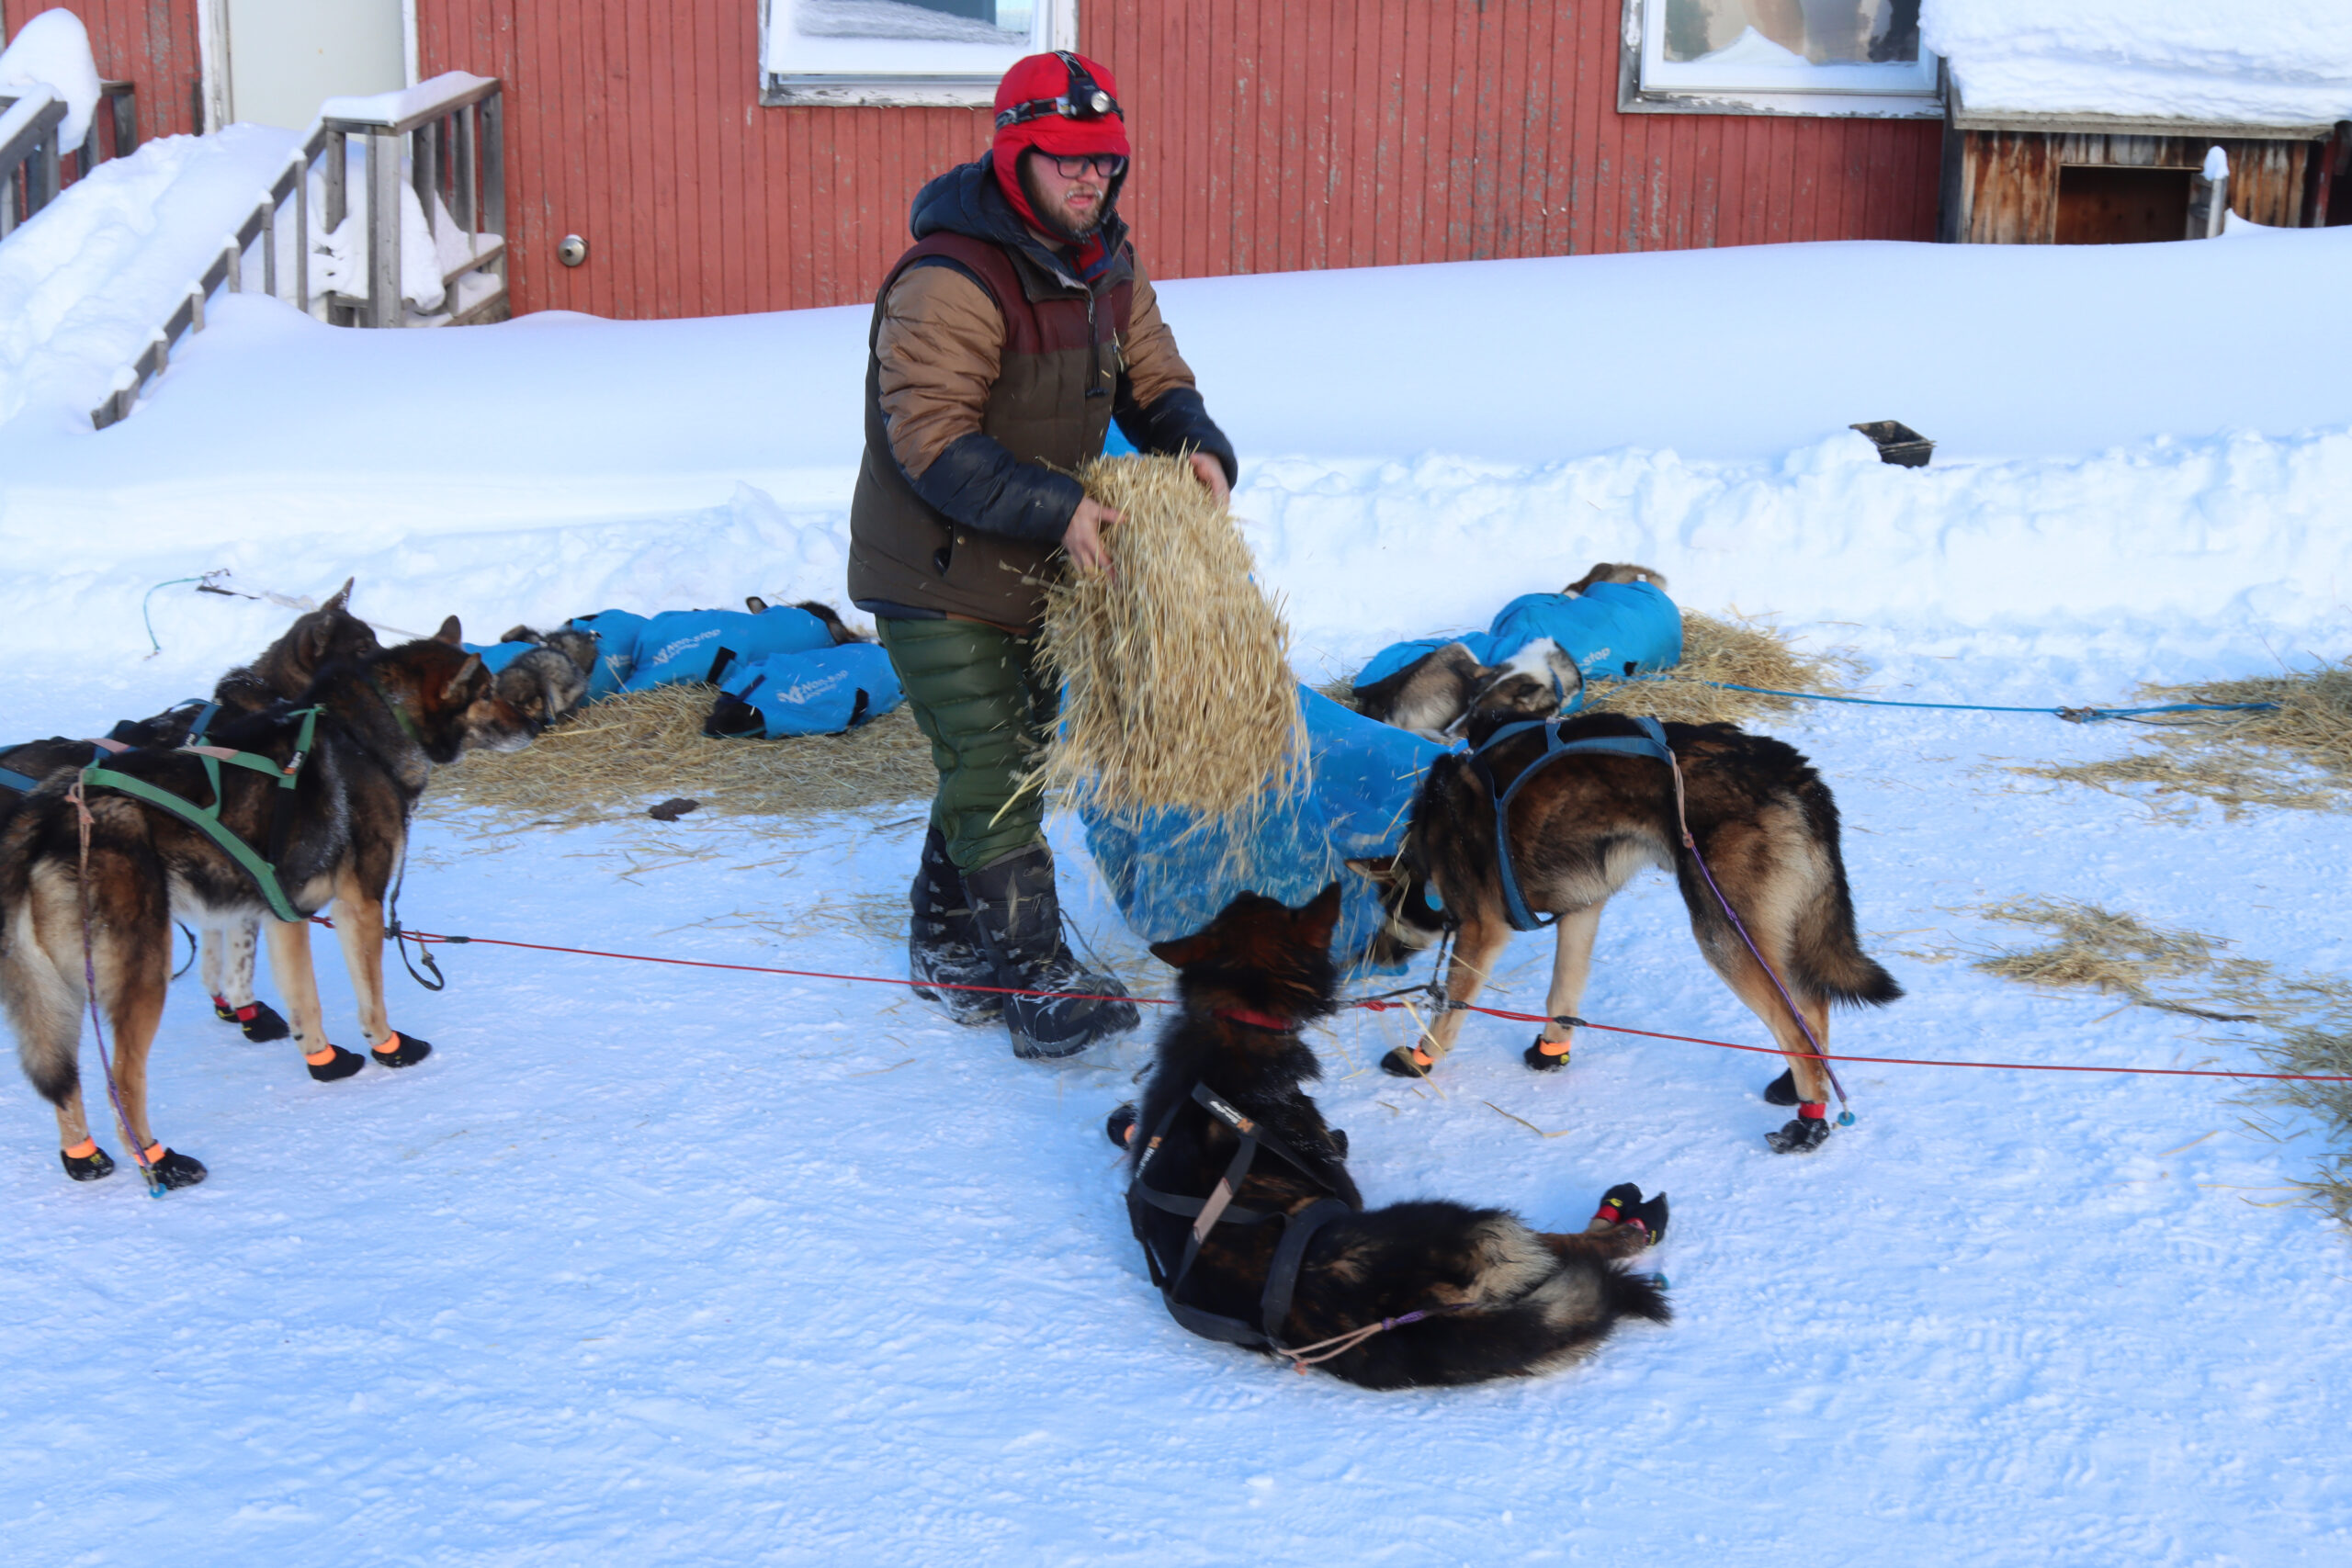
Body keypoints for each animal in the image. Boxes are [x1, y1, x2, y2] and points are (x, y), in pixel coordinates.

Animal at [1354, 709, 1900, 1152]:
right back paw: (1799, 1087)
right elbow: (1562, 994)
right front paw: (1551, 1053)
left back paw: (1809, 1123)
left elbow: (1450, 1005)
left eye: (1379, 919)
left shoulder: (1481, 929)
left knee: (1796, 1019)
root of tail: (1792, 769)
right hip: (1768, 931)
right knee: (1811, 1007)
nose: (1371, 959)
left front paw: (1421, 1058)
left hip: (1725, 933)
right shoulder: (1582, 909)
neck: (1433, 833)